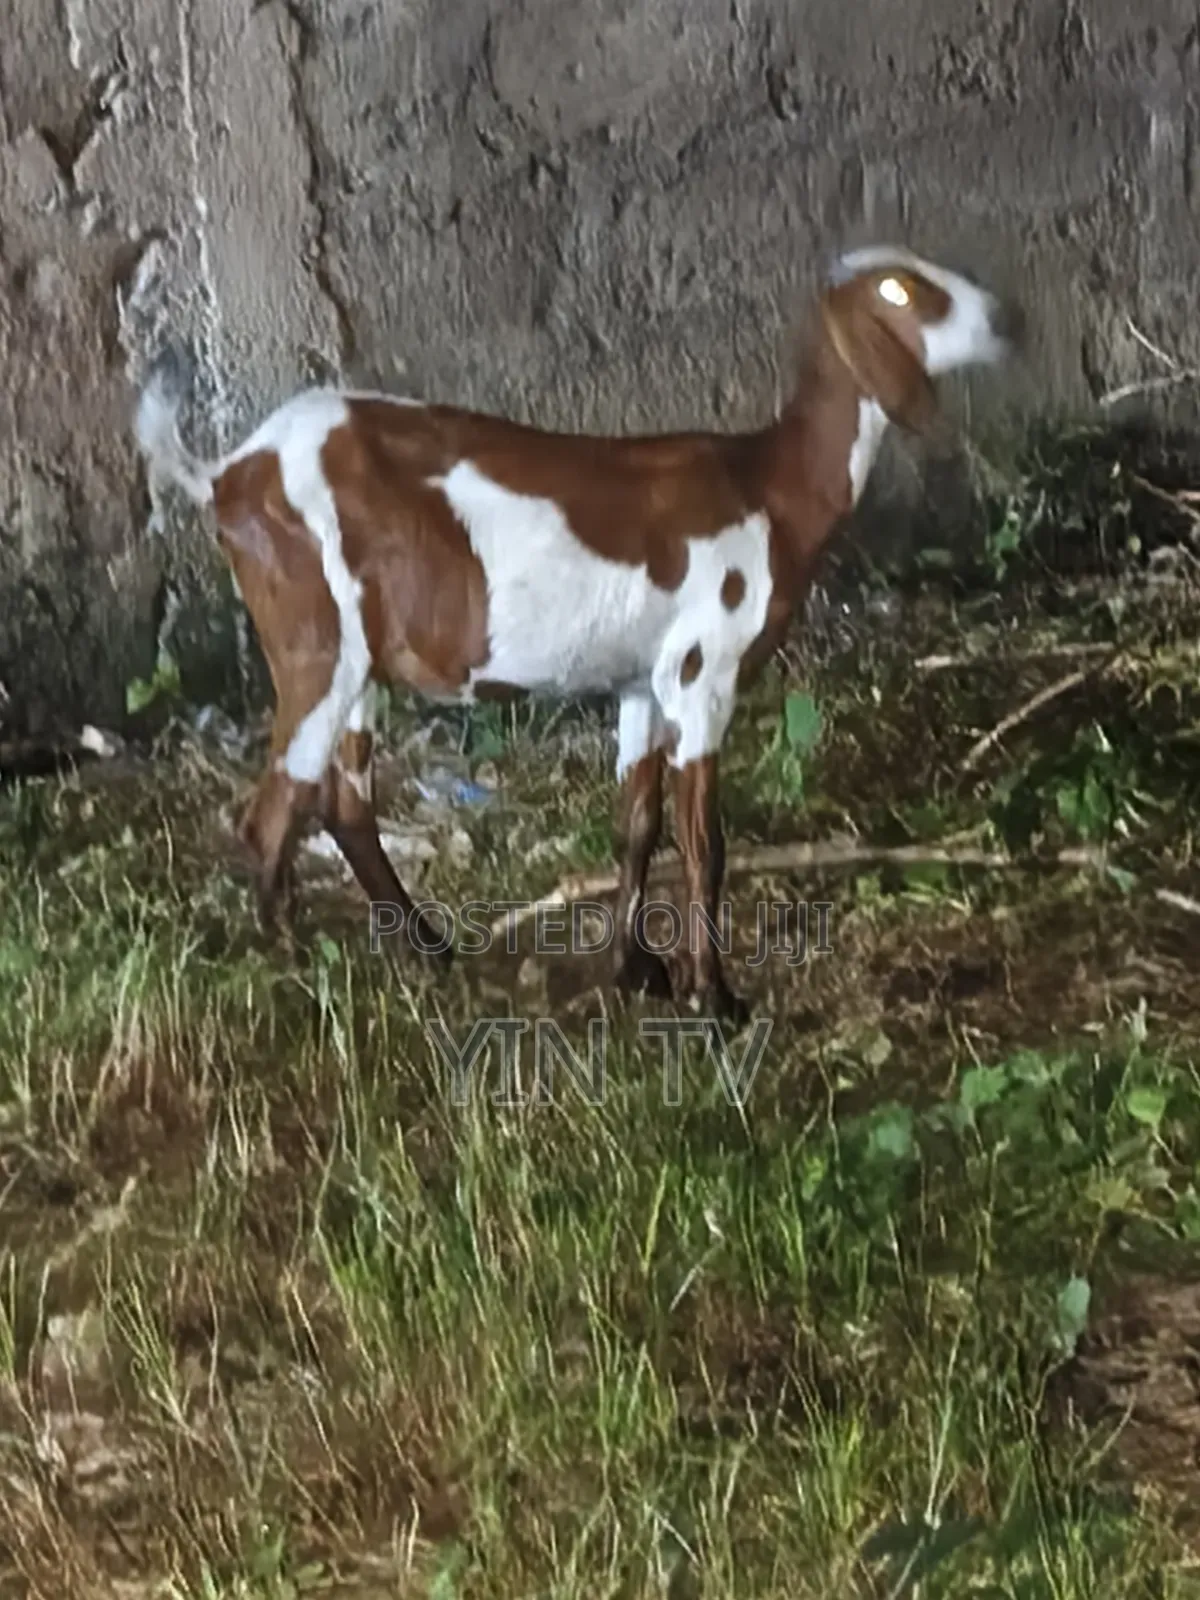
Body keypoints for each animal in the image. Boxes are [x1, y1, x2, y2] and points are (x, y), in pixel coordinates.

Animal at [134, 245, 1019, 1022]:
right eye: (901, 290)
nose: (1003, 318)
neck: (770, 489)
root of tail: (228, 474)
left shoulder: (643, 679)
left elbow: (638, 822)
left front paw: (637, 969)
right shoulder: (706, 671)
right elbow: (706, 841)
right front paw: (716, 1000)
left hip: (357, 661)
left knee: (343, 804)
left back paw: (426, 951)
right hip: (314, 641)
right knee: (271, 814)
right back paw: (291, 971)